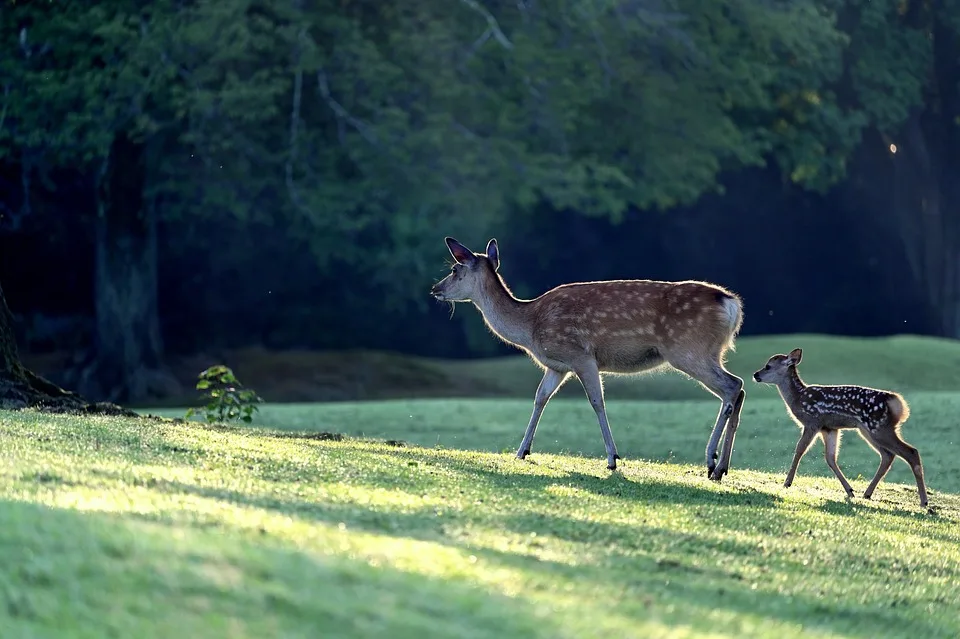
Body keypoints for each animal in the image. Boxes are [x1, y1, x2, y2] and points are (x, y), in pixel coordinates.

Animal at [432, 236, 748, 480]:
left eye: (455, 269)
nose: (435, 289)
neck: (531, 326)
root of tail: (731, 304)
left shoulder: (581, 355)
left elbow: (597, 401)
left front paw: (612, 458)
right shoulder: (557, 366)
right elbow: (540, 398)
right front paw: (522, 451)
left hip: (688, 349)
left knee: (732, 386)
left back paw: (711, 460)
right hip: (708, 352)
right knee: (739, 388)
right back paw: (721, 468)